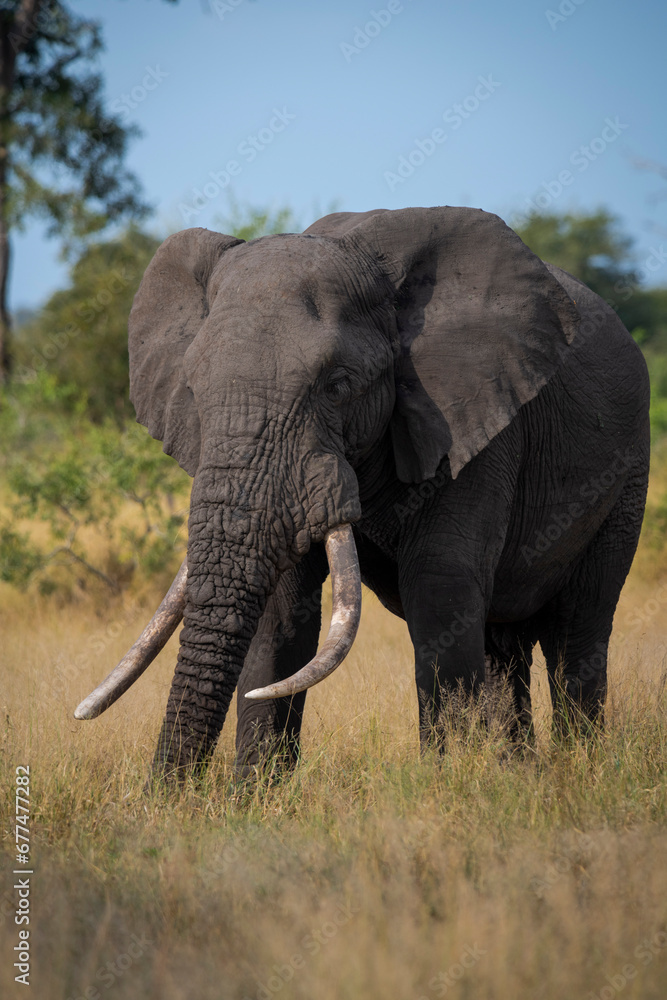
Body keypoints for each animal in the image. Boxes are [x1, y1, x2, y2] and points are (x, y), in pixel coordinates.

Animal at [74, 206, 650, 780]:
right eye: (192, 391)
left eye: (337, 386)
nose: (169, 792)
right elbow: (281, 611)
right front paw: (255, 793)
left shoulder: (475, 423)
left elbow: (440, 593)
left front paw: (447, 783)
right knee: (501, 646)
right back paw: (517, 773)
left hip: (626, 476)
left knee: (577, 630)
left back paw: (580, 767)